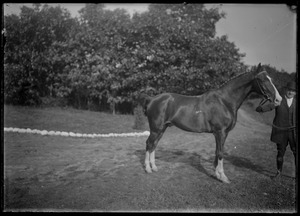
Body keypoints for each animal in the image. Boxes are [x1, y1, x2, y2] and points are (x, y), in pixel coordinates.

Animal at [137, 63, 282, 183]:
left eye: (270, 79)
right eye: (263, 80)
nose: (278, 99)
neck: (224, 101)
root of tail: (151, 99)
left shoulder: (220, 134)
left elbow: (217, 151)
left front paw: (216, 174)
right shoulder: (221, 132)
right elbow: (221, 153)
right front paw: (223, 177)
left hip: (162, 129)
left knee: (154, 145)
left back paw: (154, 167)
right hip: (156, 129)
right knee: (149, 143)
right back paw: (148, 169)